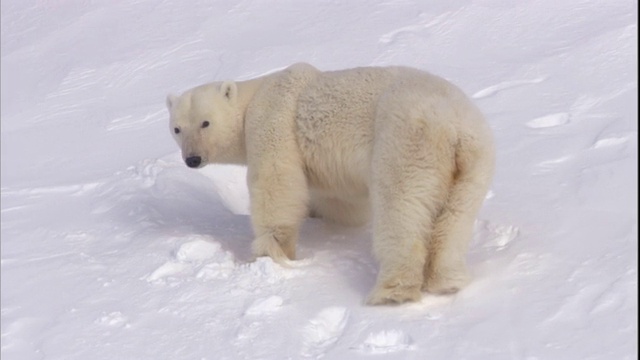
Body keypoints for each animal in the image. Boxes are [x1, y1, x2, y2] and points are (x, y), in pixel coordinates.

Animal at [166, 63, 496, 306]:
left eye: (206, 122)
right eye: (177, 129)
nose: (192, 159)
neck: (254, 95)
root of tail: (454, 128)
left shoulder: (272, 120)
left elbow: (276, 182)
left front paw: (270, 252)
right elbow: (341, 201)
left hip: (406, 141)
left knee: (401, 210)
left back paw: (391, 292)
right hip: (473, 164)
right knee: (455, 219)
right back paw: (447, 281)